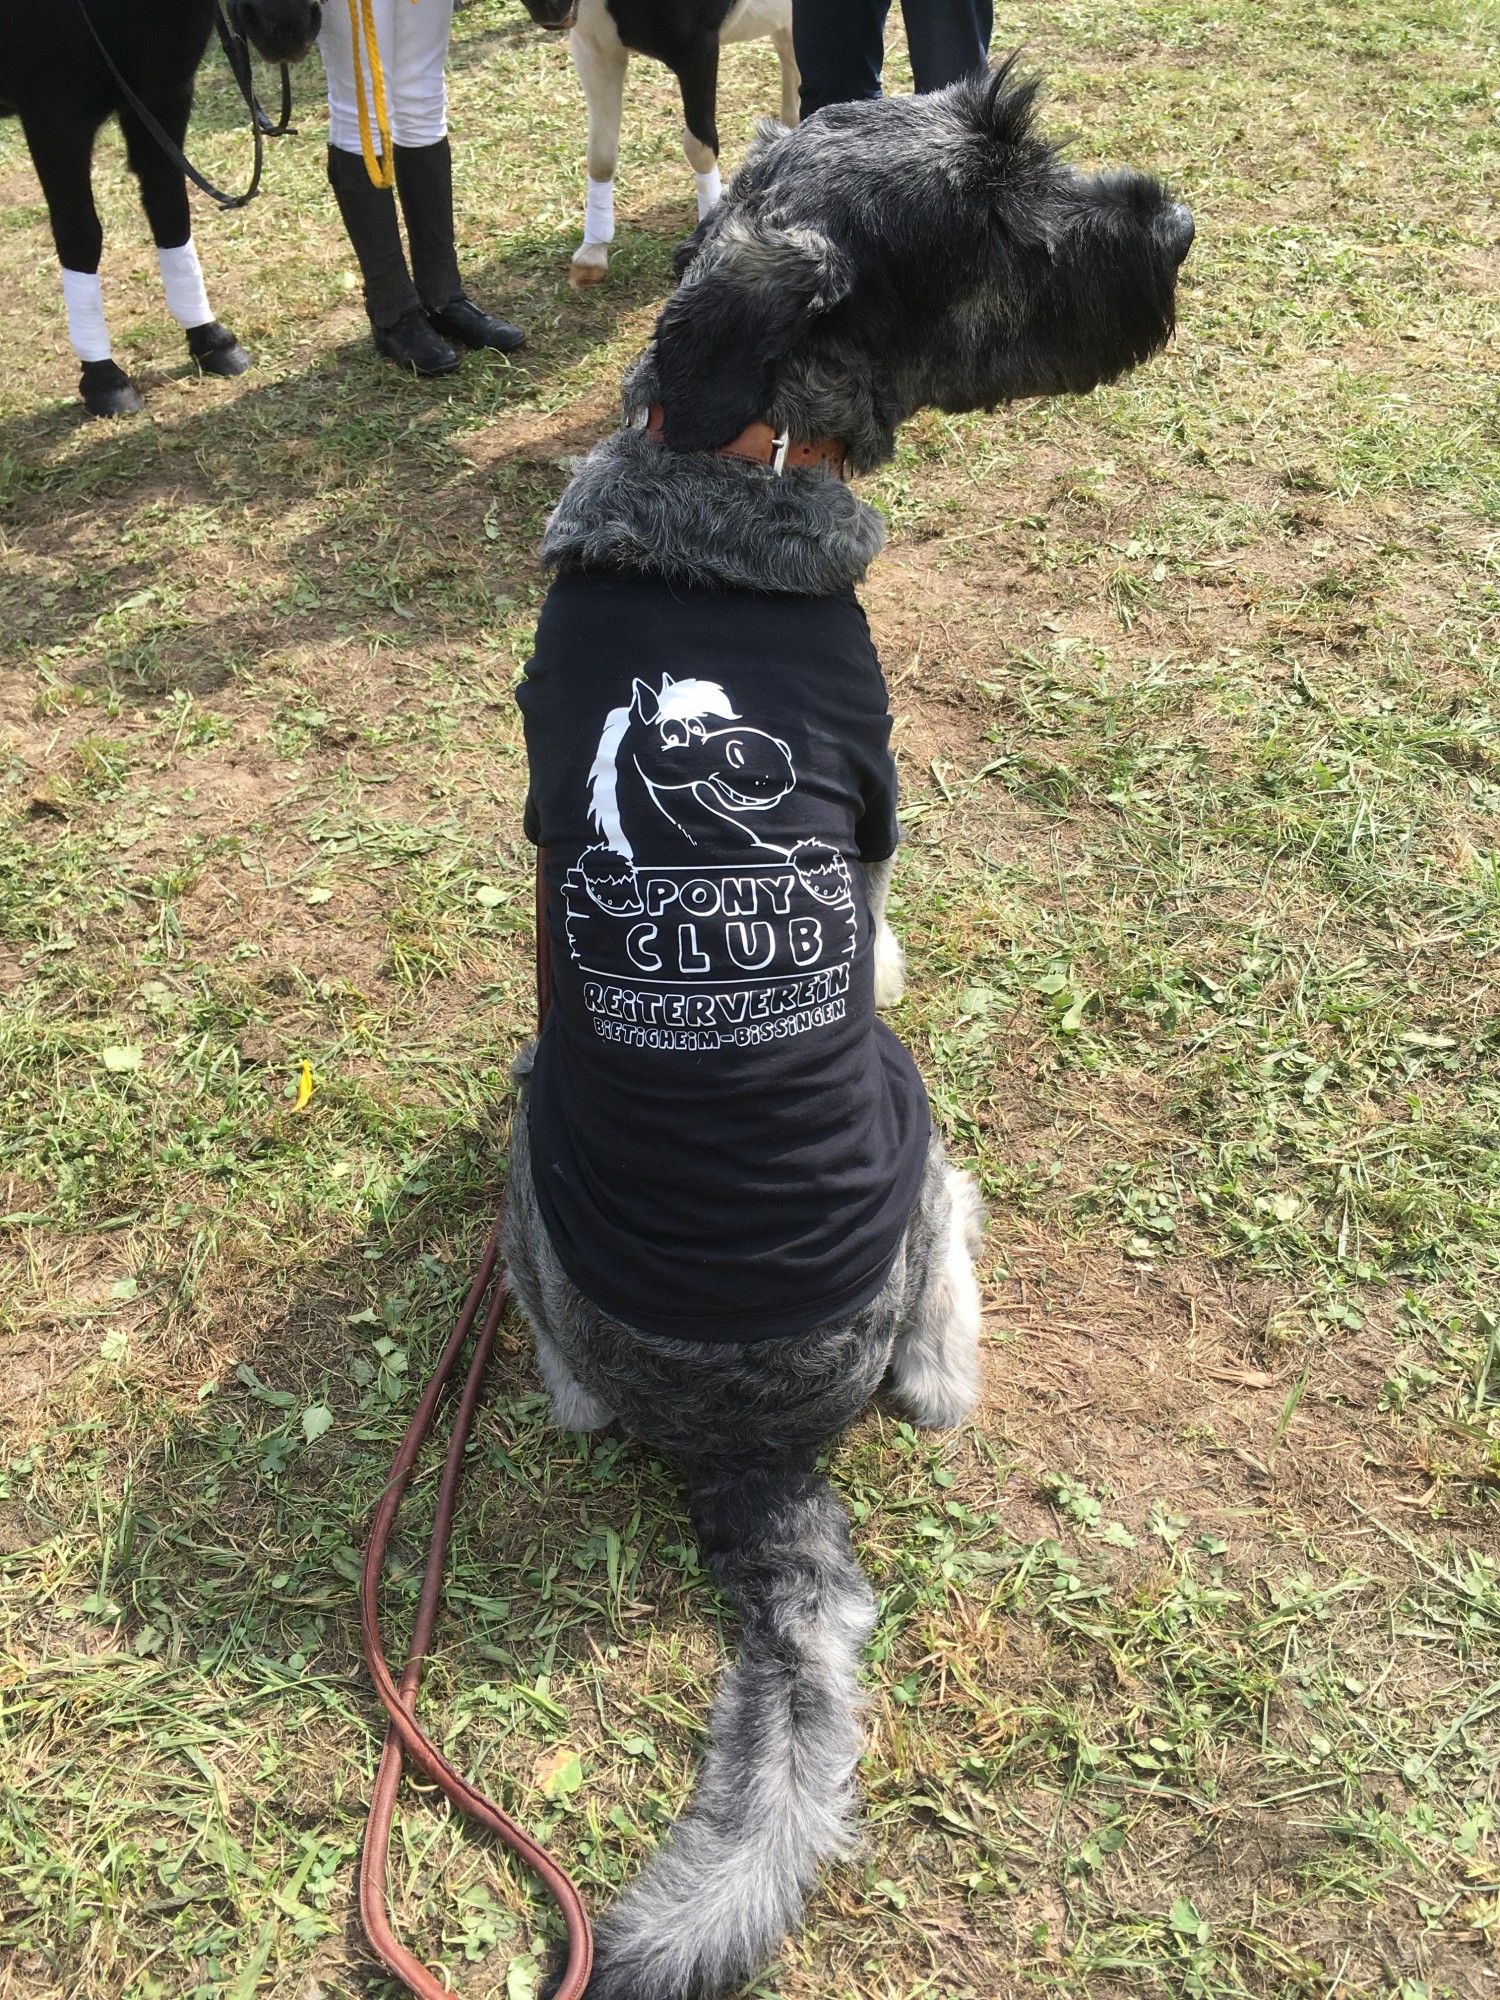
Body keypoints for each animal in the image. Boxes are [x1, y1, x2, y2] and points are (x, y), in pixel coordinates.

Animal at [0, 0, 321, 417]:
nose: (285, 27)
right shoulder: (55, 121)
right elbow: (80, 234)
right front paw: (104, 378)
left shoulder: (164, 98)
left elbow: (170, 211)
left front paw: (210, 339)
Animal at [507, 66, 1193, 2000]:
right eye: (998, 214)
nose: (1180, 226)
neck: (731, 460)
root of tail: (754, 1462)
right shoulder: (874, 828)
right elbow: (881, 933)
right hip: (921, 1159)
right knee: (944, 1371)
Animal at [517, 0, 798, 287]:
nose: (549, 12)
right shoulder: (594, 49)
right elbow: (600, 155)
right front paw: (592, 254)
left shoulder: (698, 49)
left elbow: (699, 148)